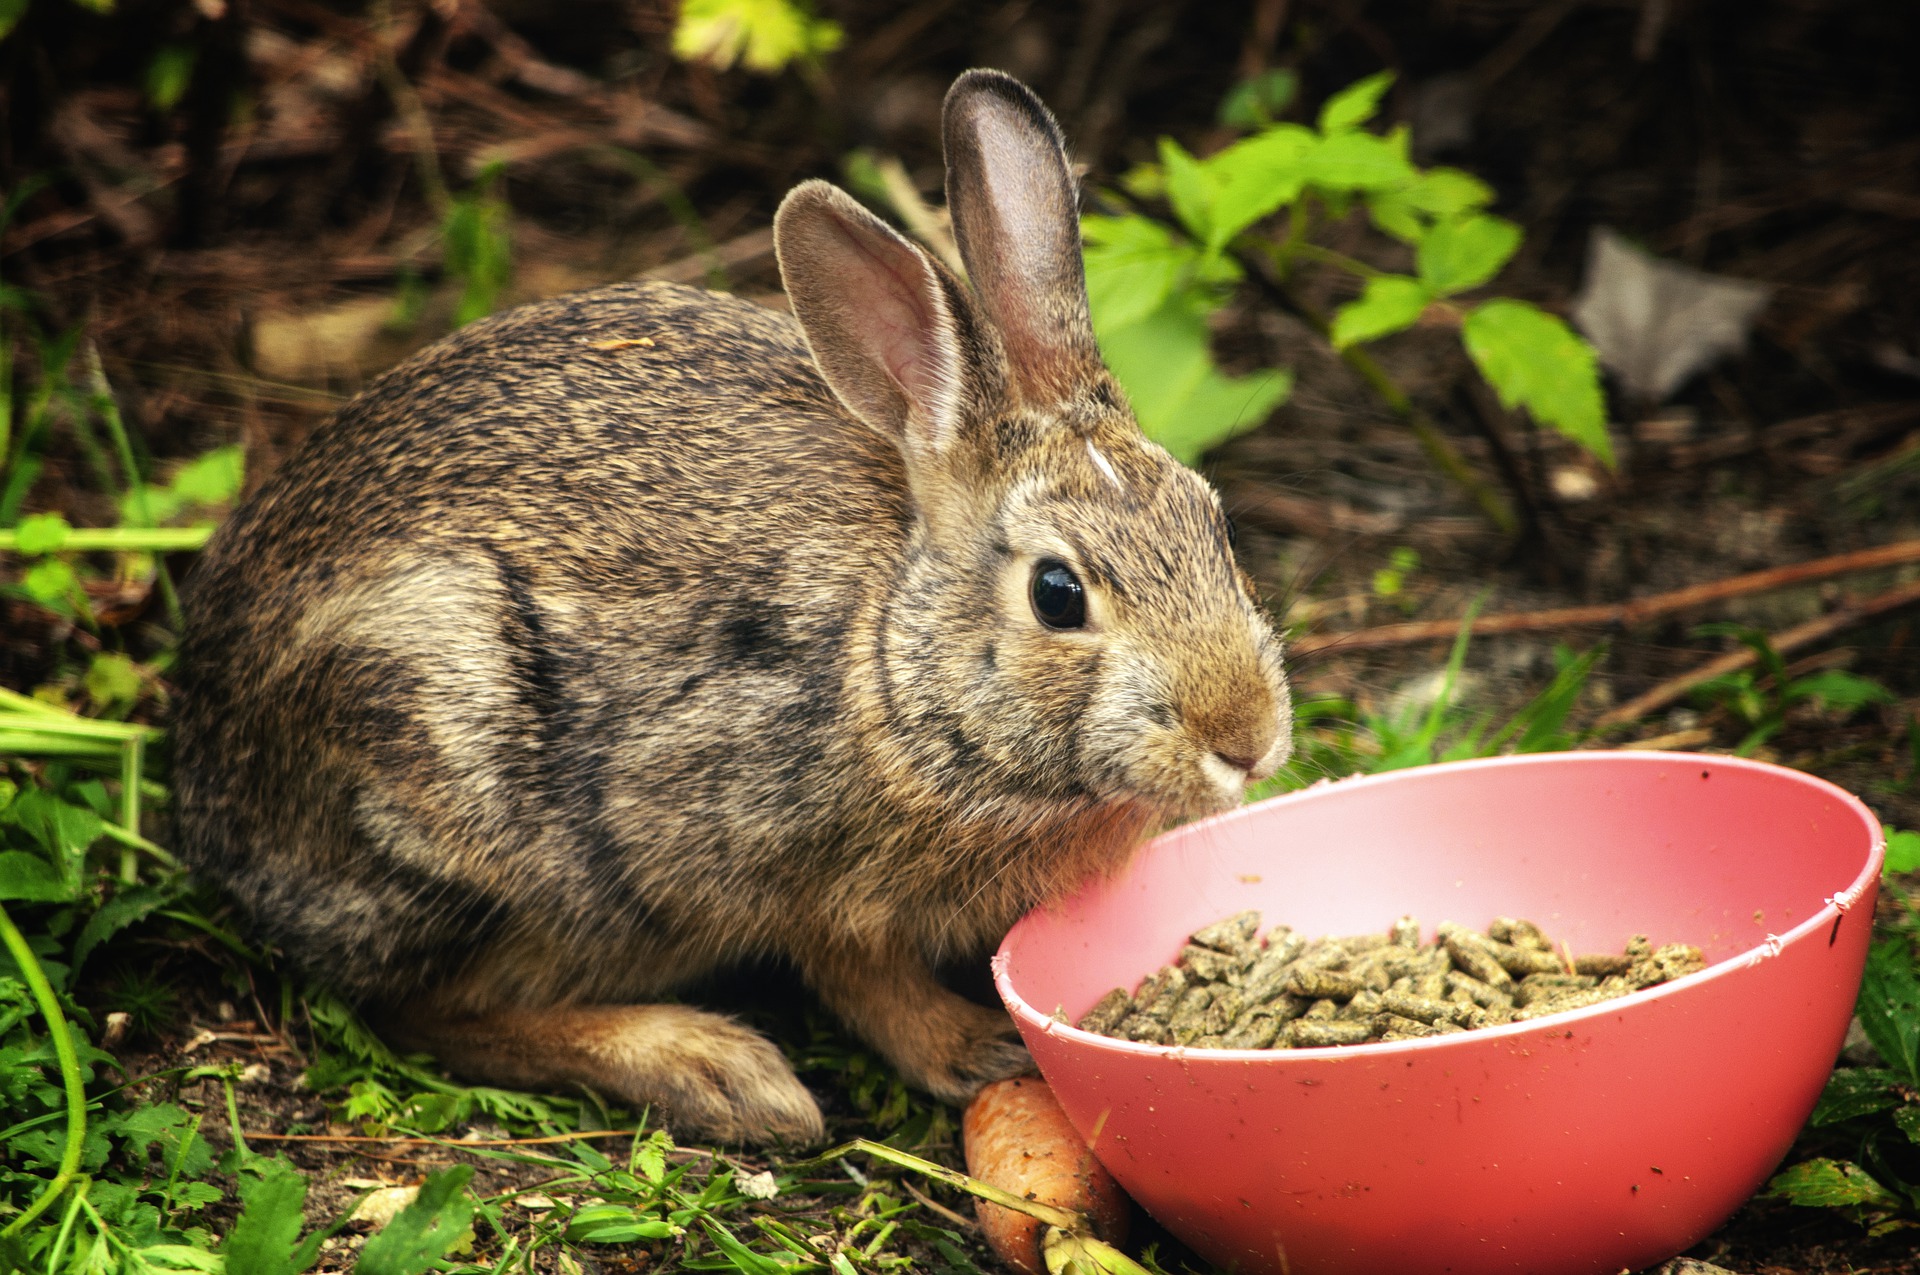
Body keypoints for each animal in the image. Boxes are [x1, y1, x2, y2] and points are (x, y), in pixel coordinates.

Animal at [172, 72, 1290, 1144]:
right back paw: (718, 1072)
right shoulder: (763, 855)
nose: (1248, 741)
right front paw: (976, 1047)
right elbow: (856, 976)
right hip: (449, 769)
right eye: (1059, 595)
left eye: (1215, 524)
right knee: (422, 1012)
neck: (895, 661)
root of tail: (209, 794)